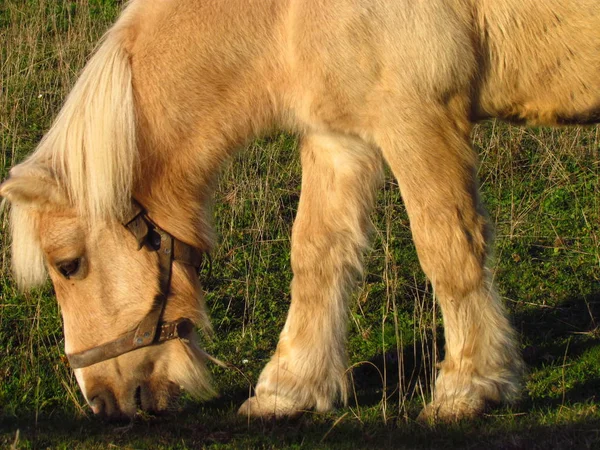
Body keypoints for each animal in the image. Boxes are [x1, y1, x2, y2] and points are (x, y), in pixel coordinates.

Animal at [1, 0, 600, 422]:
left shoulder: (416, 117)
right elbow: (316, 257)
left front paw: (470, 386)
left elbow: (448, 249)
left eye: (69, 265)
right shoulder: (339, 138)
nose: (103, 401)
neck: (284, 14)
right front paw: (287, 388)